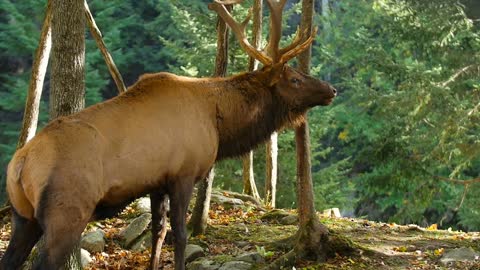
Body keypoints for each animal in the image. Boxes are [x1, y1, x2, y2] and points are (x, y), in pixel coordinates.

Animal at [1, 0, 336, 270]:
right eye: (294, 78)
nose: (331, 89)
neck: (219, 123)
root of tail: (19, 165)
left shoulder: (156, 182)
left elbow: (158, 233)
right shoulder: (183, 173)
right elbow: (181, 233)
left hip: (23, 216)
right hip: (67, 211)